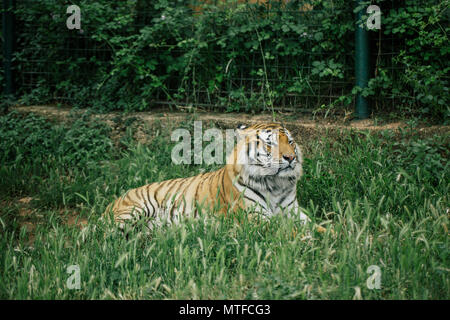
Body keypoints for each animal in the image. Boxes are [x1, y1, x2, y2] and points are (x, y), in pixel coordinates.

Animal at [103, 122, 312, 230]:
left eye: (291, 142)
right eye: (271, 144)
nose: (291, 158)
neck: (276, 184)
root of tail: (111, 203)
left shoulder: (295, 212)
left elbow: (316, 226)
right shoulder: (256, 218)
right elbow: (288, 232)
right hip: (135, 211)